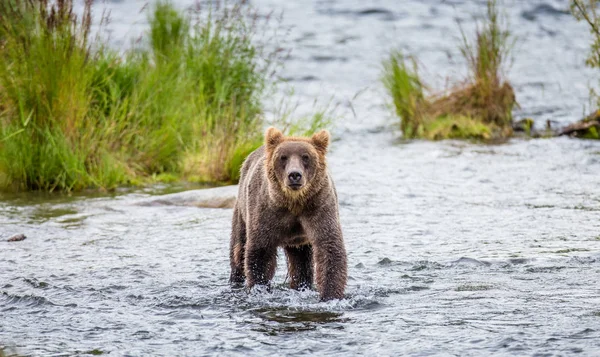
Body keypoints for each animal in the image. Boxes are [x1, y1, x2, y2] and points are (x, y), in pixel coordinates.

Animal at [231, 126, 352, 298]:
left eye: (306, 157)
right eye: (283, 157)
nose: (294, 174)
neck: (294, 202)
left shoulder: (319, 205)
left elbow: (329, 247)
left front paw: (330, 295)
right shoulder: (266, 210)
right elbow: (260, 251)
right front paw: (259, 288)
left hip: (299, 241)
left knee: (301, 263)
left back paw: (301, 285)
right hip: (242, 210)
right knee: (238, 248)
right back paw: (235, 280)